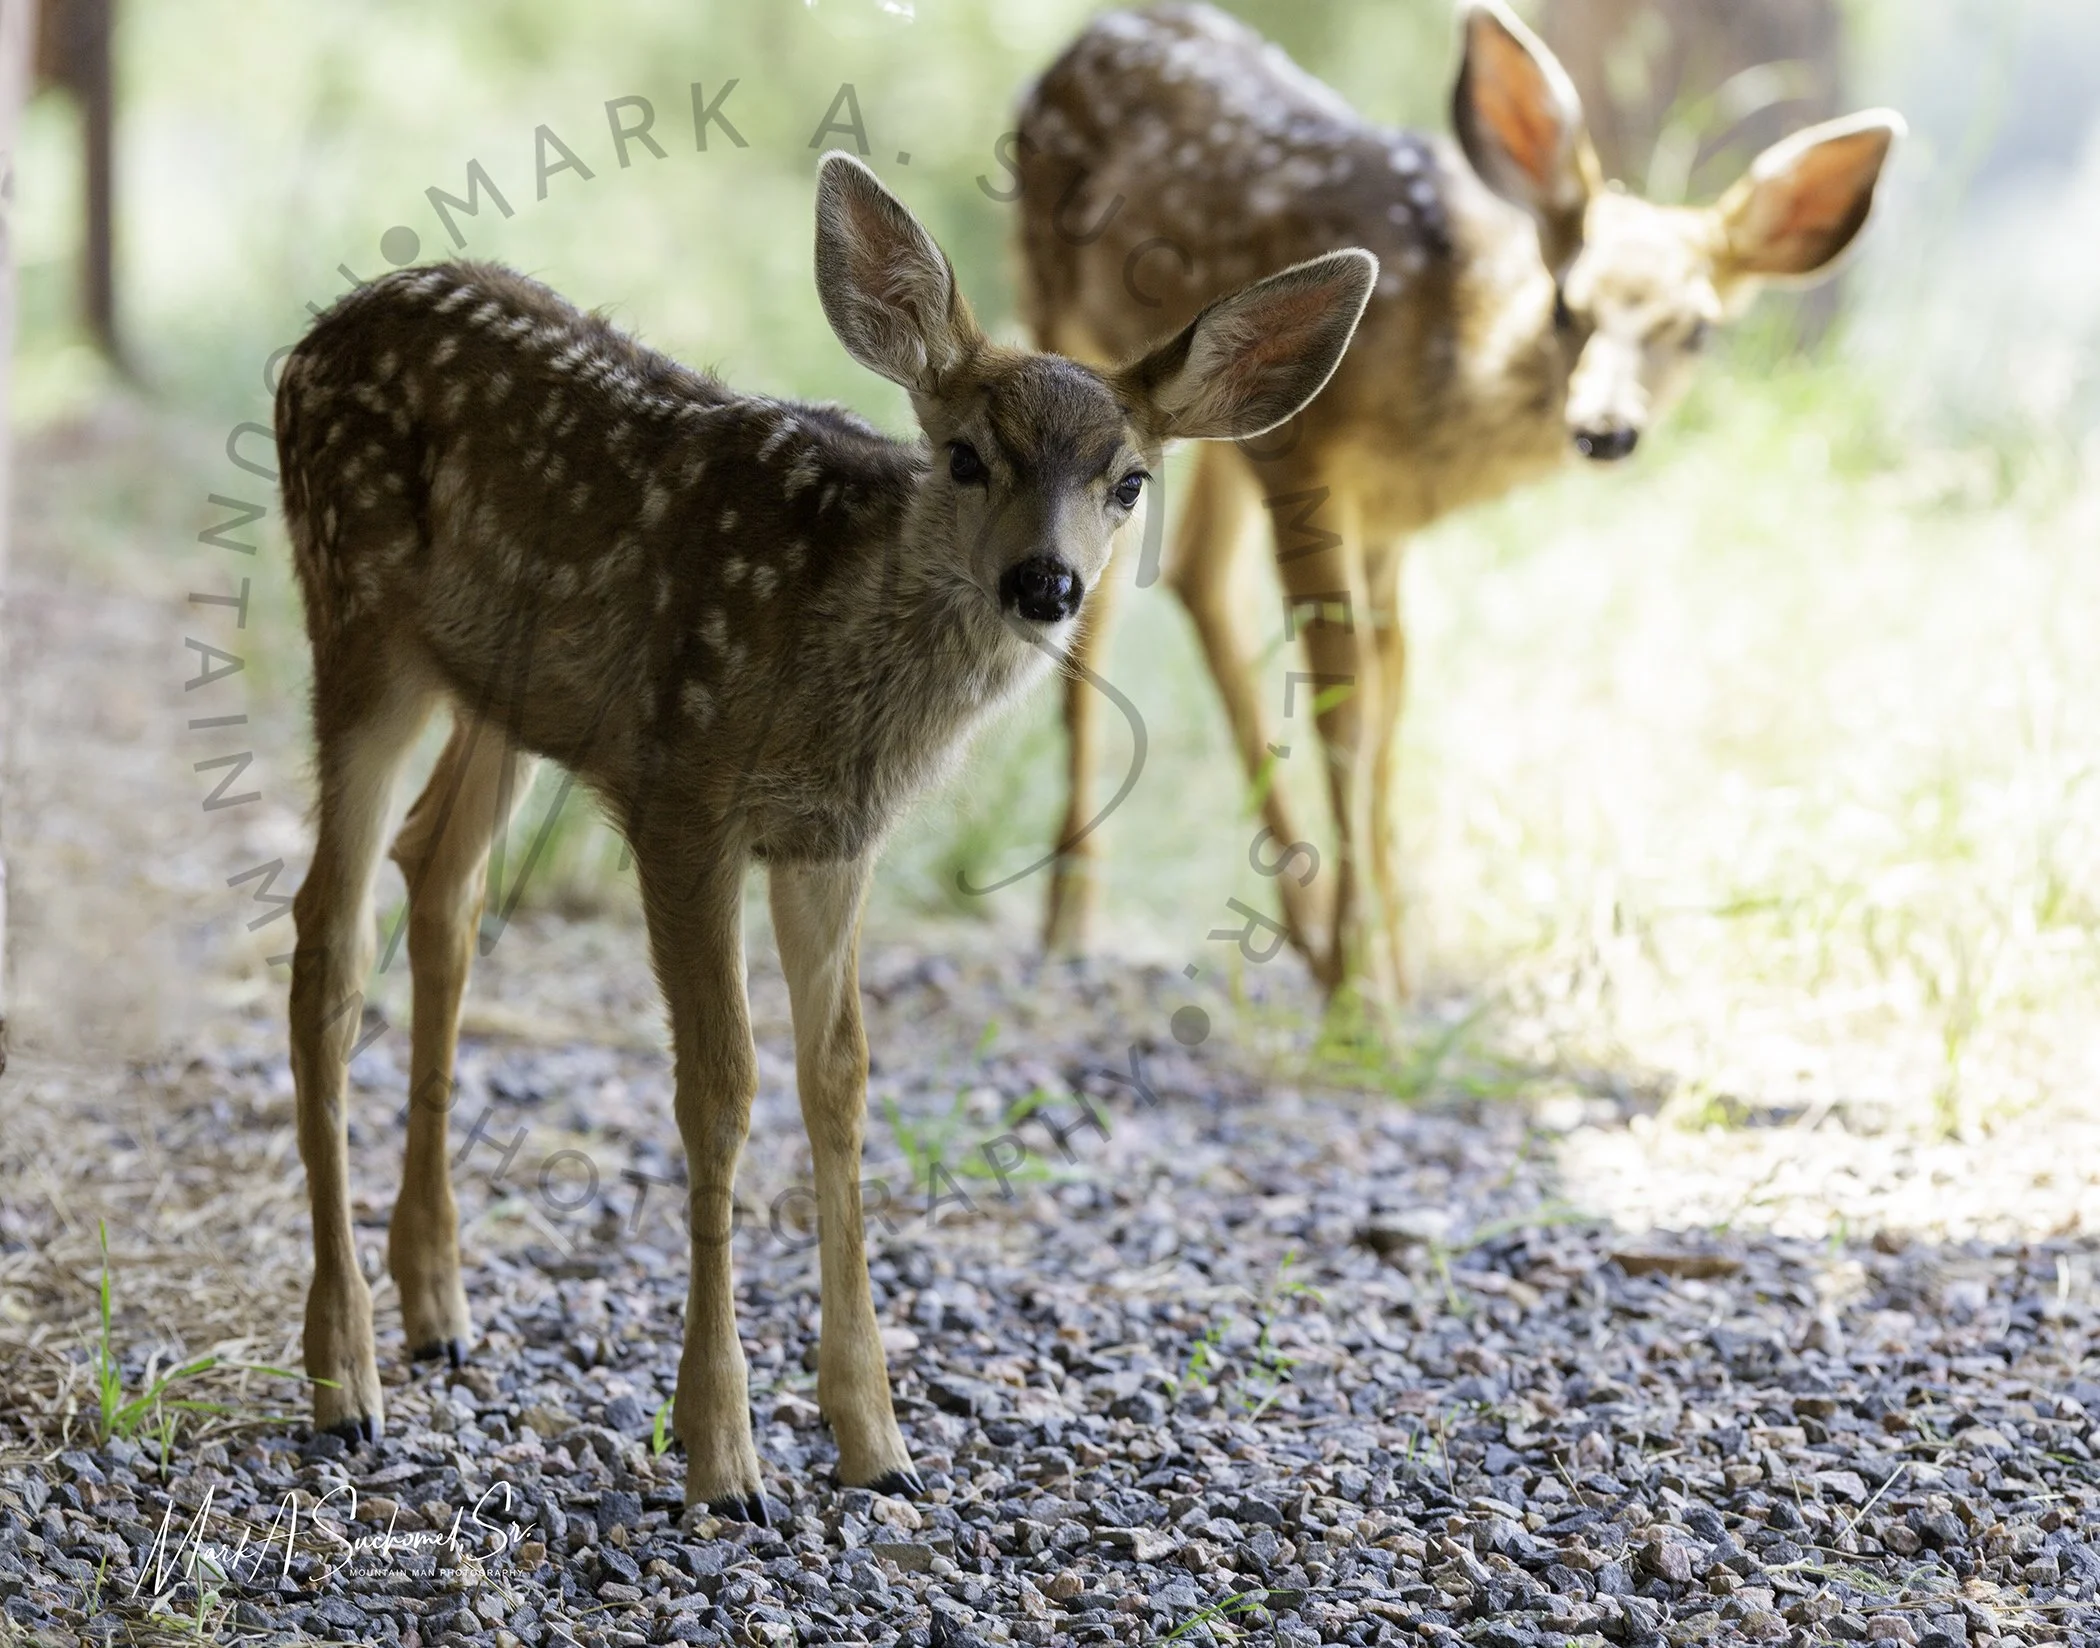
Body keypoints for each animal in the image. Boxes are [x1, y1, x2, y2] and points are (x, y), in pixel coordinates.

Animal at [273, 150, 1374, 1516]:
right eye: (966, 456)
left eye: (1130, 482)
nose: (1045, 584)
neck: (832, 651)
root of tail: (315, 336)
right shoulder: (683, 796)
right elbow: (722, 1087)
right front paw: (723, 1454)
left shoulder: (831, 839)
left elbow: (837, 1080)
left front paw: (876, 1440)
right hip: (357, 617)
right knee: (326, 939)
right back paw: (344, 1375)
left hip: (502, 695)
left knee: (442, 879)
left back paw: (438, 1307)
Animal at [1016, 0, 1902, 1000]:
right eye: (1566, 304)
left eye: (1698, 330)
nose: (1605, 429)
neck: (1449, 344)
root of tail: (1084, 40)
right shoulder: (1309, 463)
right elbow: (1345, 708)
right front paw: (1365, 998)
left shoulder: (1385, 518)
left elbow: (1394, 701)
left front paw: (1393, 965)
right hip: (1067, 314)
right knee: (1116, 602)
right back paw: (1073, 922)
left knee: (1199, 572)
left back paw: (1300, 929)